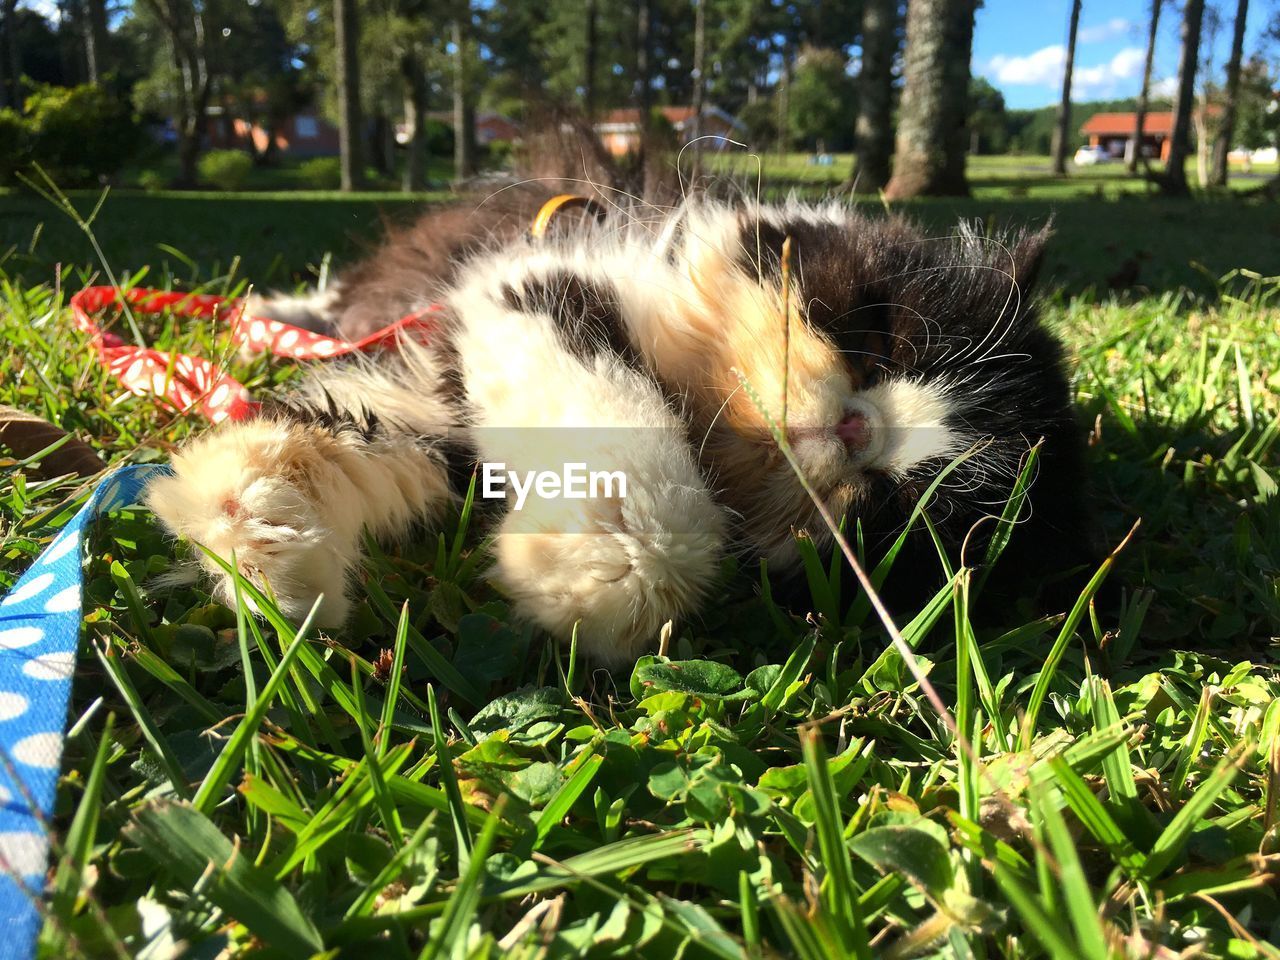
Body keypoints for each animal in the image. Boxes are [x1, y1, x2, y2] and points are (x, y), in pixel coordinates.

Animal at [147, 192, 1090, 665]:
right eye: (880, 335)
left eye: (901, 506)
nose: (855, 430)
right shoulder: (521, 287)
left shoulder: (447, 390)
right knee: (329, 296)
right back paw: (267, 310)